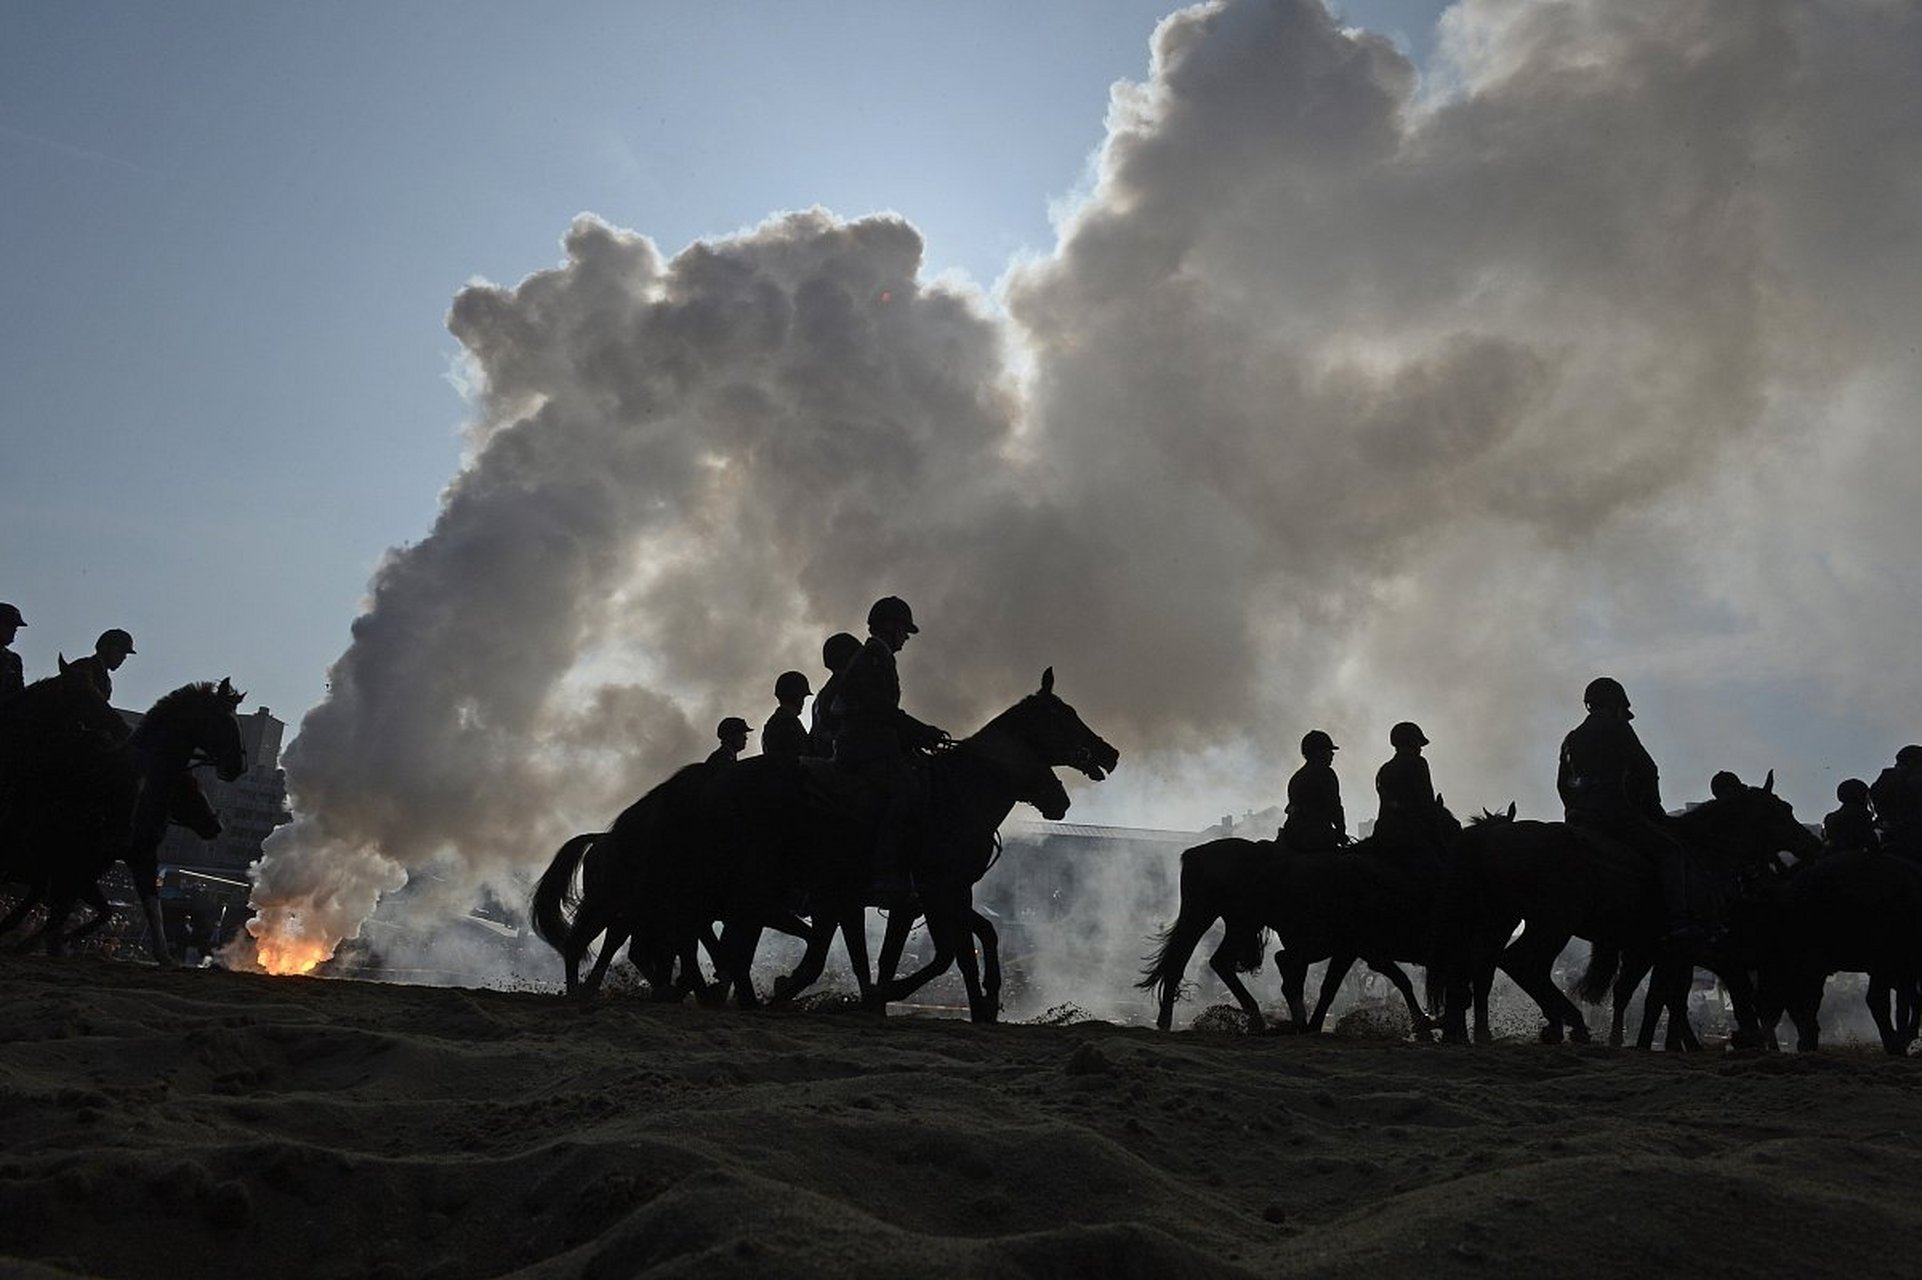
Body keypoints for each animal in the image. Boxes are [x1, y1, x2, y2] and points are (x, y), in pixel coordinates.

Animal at [0, 676, 244, 957]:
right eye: (226, 721)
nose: (237, 767)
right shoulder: (80, 862)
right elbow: (65, 910)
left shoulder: (139, 856)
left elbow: (150, 908)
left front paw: (163, 955)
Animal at [1437, 768, 1822, 1045]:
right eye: (1783, 810)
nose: (1813, 844)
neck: (1701, 852)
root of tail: (1492, 836)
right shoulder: (1685, 948)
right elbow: (1674, 995)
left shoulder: (1653, 949)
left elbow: (1646, 995)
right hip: (1553, 922)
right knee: (1520, 963)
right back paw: (1571, 1023)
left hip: (1501, 921)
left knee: (1483, 968)